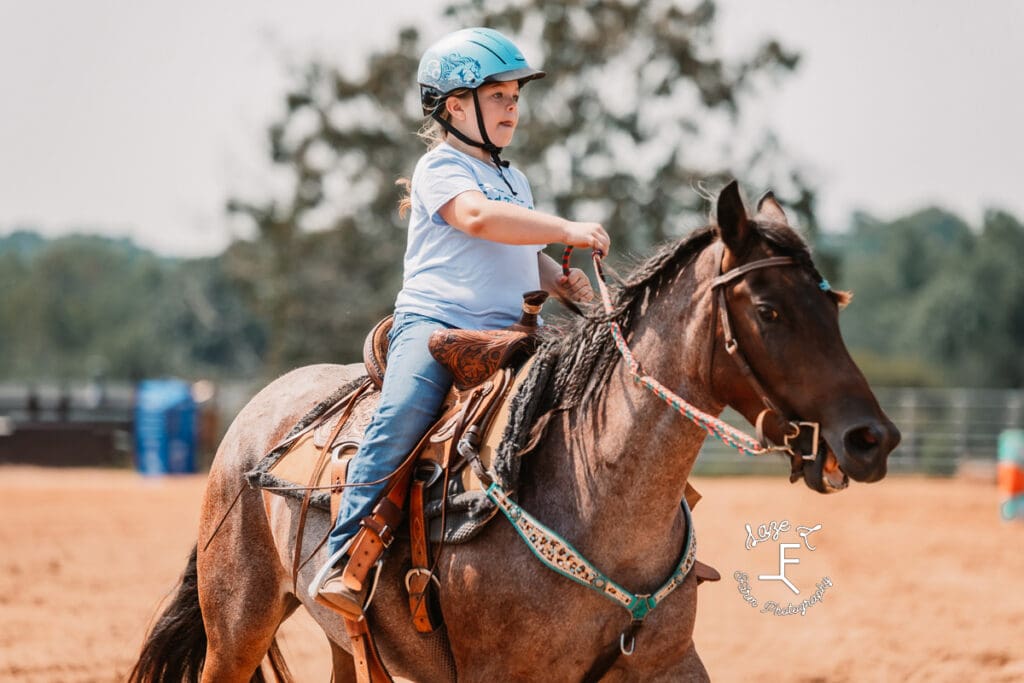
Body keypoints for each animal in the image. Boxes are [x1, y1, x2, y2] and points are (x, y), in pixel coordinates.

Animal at [132, 181, 901, 683]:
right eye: (769, 309)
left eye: (834, 304)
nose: (872, 439)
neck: (596, 497)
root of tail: (252, 419)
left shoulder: (672, 662)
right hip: (237, 628)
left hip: (340, 644)